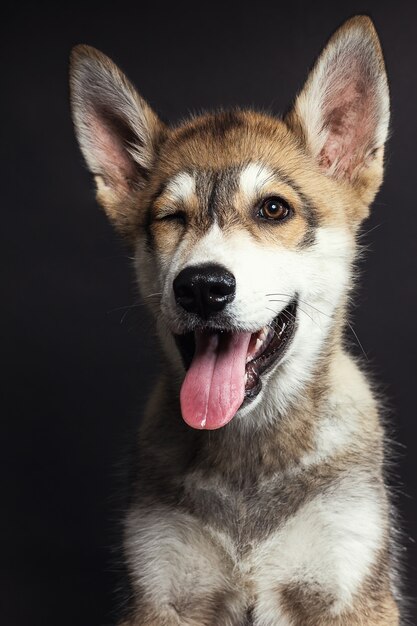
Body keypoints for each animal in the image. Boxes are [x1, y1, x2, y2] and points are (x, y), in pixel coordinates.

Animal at [70, 15, 400, 624]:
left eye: (273, 209)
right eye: (170, 218)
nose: (202, 287)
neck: (247, 457)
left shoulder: (345, 584)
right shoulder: (163, 590)